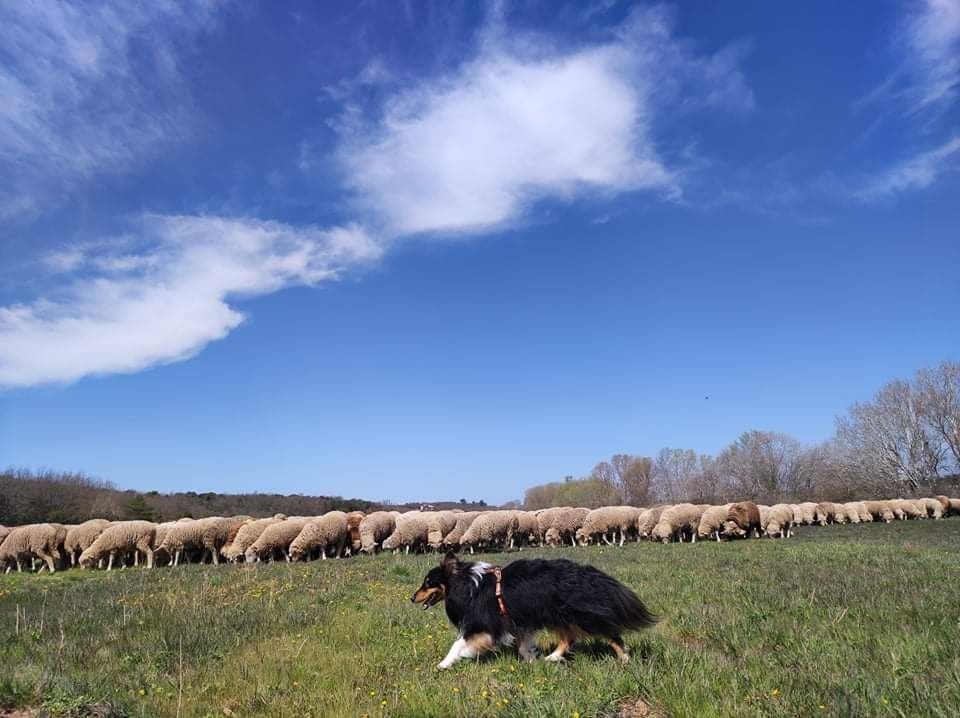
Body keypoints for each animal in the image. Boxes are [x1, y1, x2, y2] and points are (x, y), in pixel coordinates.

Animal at [408, 556, 656, 672]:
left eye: (428, 582)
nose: (412, 597)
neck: (467, 584)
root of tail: (591, 575)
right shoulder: (516, 622)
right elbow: (523, 646)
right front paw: (531, 660)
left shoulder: (483, 624)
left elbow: (458, 644)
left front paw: (444, 664)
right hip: (559, 615)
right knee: (569, 638)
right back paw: (552, 658)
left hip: (580, 615)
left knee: (612, 635)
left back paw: (625, 659)